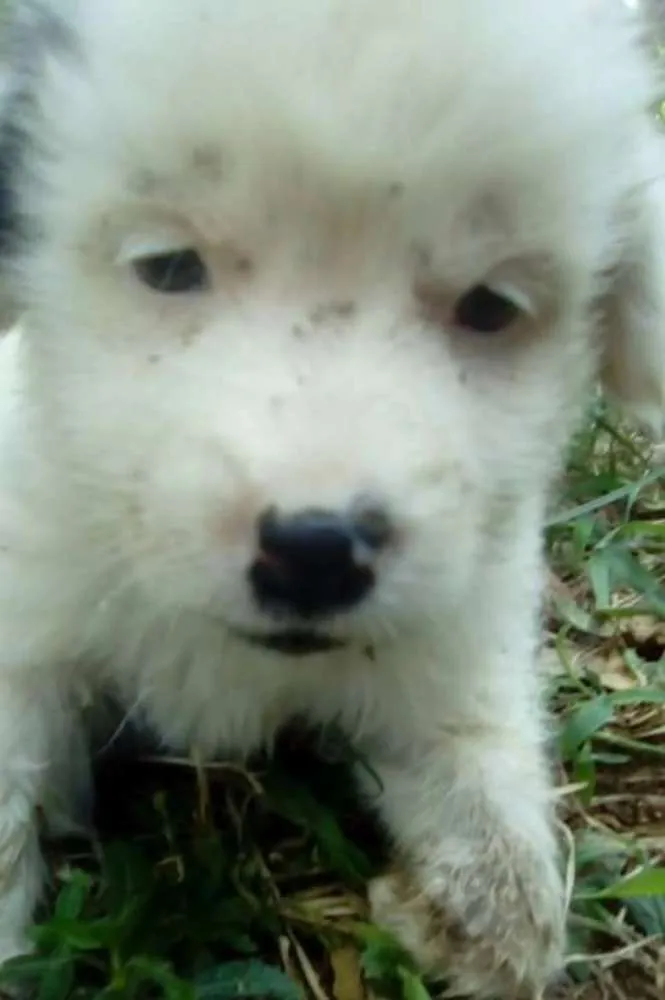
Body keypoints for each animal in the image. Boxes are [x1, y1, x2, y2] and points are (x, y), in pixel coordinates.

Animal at [0, 0, 664, 996]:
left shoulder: (458, 621)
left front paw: (494, 909)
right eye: (166, 267)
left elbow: (479, 748)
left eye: (490, 306)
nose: (314, 552)